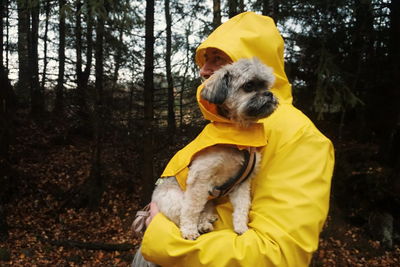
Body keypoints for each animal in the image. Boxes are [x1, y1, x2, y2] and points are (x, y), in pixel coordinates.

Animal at [148, 57, 278, 241]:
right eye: (249, 86)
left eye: (267, 86)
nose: (269, 94)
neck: (239, 138)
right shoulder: (200, 179)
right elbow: (191, 209)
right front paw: (189, 230)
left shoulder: (241, 184)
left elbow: (242, 207)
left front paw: (241, 227)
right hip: (175, 199)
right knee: (184, 212)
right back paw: (199, 225)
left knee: (203, 210)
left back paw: (206, 220)